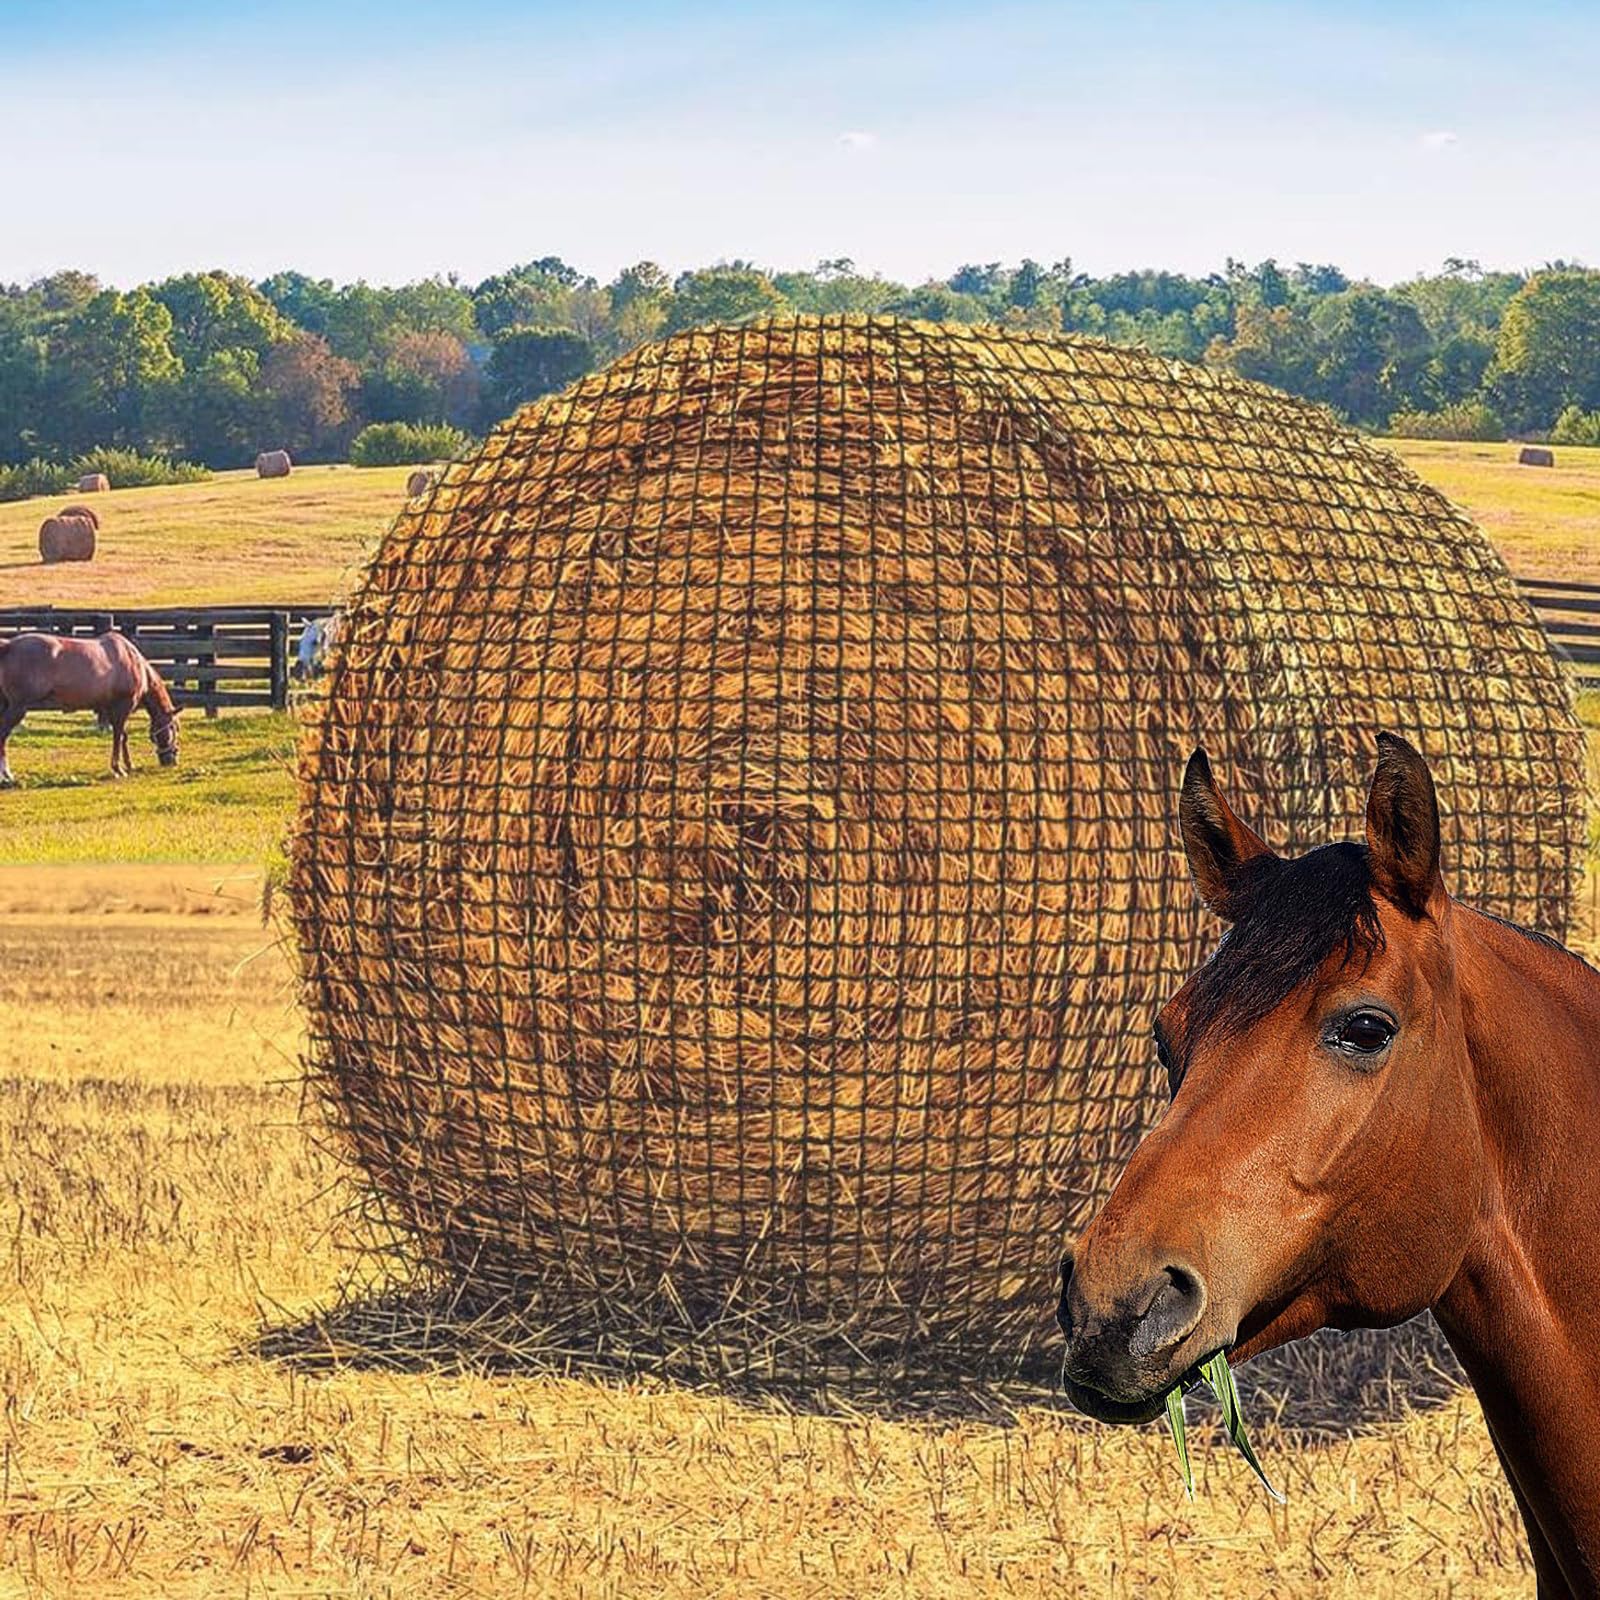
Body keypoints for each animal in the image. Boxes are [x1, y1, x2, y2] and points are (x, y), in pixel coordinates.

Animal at [0, 631, 181, 785]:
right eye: (174, 728)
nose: (171, 761)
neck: (133, 661)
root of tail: (9, 646)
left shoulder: (111, 709)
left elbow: (123, 736)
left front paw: (129, 765)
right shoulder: (122, 708)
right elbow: (118, 736)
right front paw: (118, 769)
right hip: (18, 708)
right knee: (3, 735)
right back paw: (7, 774)